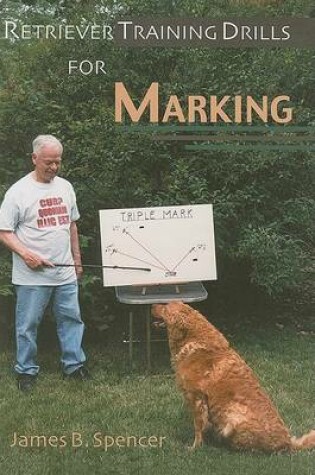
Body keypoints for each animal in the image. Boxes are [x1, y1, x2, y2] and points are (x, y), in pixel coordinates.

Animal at [152, 302, 315, 454]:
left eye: (165, 307)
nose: (152, 305)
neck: (194, 339)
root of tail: (288, 443)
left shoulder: (196, 397)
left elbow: (198, 426)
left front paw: (195, 447)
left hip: (233, 413)